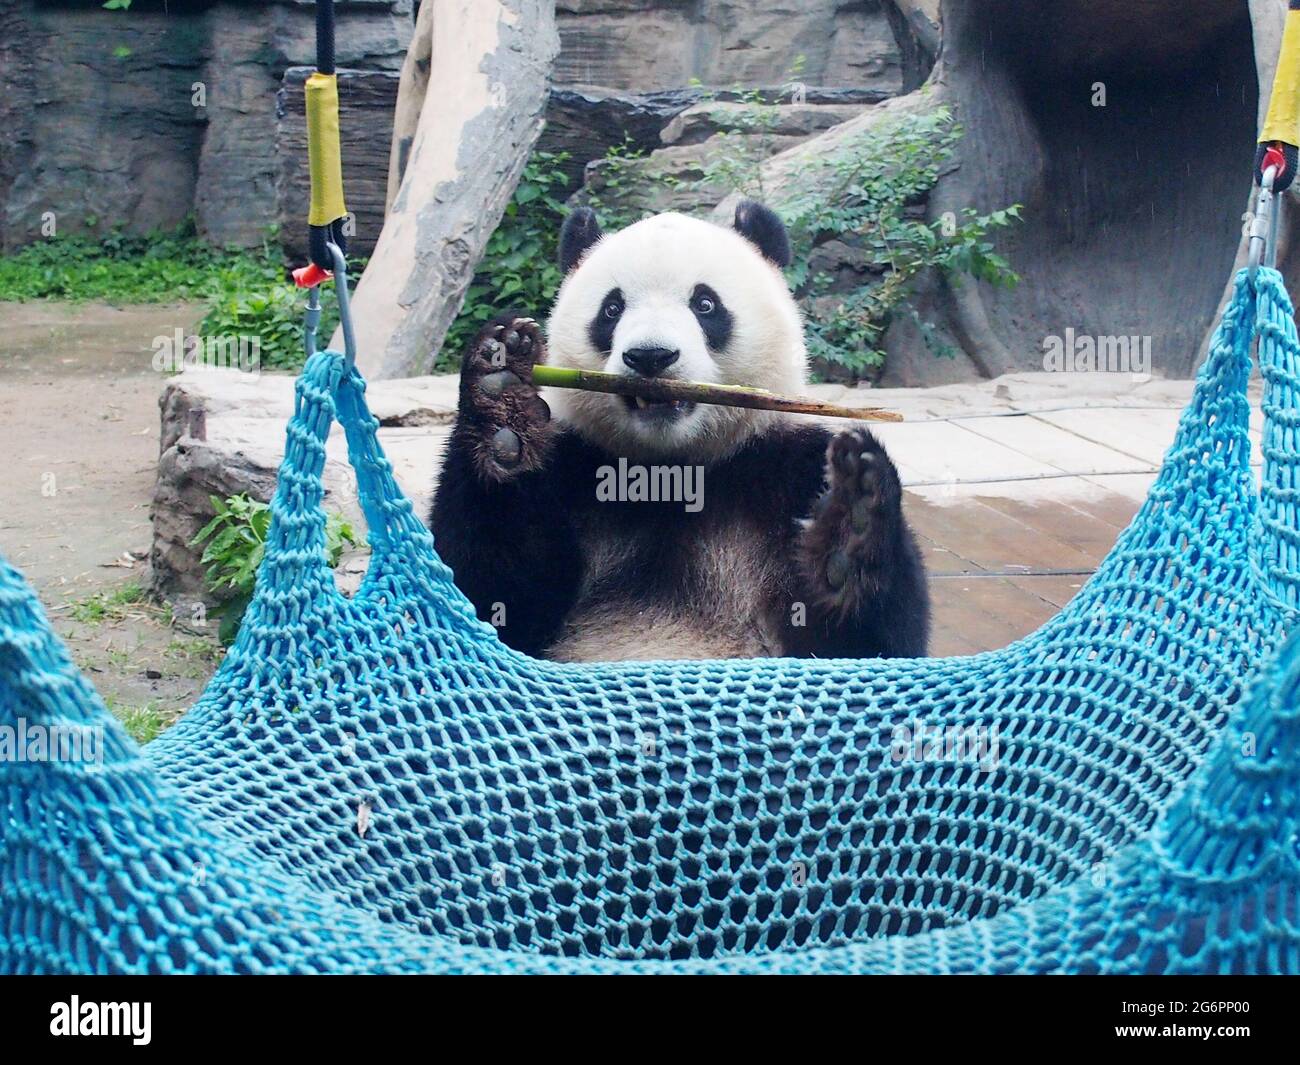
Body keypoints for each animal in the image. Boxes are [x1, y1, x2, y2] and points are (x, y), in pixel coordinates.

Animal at [429, 201, 930, 662]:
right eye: (612, 309)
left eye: (705, 304)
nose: (650, 356)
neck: (674, 469)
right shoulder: (576, 466)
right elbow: (495, 598)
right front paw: (503, 403)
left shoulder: (786, 467)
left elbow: (868, 647)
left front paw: (850, 527)